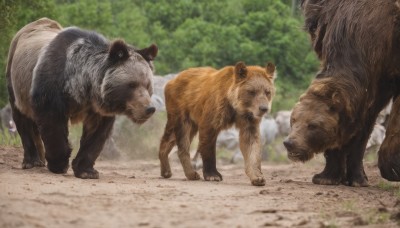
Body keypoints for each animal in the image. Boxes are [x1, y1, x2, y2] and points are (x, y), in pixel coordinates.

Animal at [6, 17, 157, 178]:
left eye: (148, 85)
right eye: (132, 84)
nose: (149, 108)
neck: (82, 87)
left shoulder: (97, 108)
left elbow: (95, 135)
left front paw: (86, 170)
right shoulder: (51, 91)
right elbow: (53, 126)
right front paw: (59, 164)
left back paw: (39, 160)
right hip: (16, 83)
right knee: (22, 119)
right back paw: (31, 161)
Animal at [282, 0, 400, 186]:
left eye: (312, 125)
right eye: (293, 120)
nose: (290, 143)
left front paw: (391, 167)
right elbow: (360, 125)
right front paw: (329, 176)